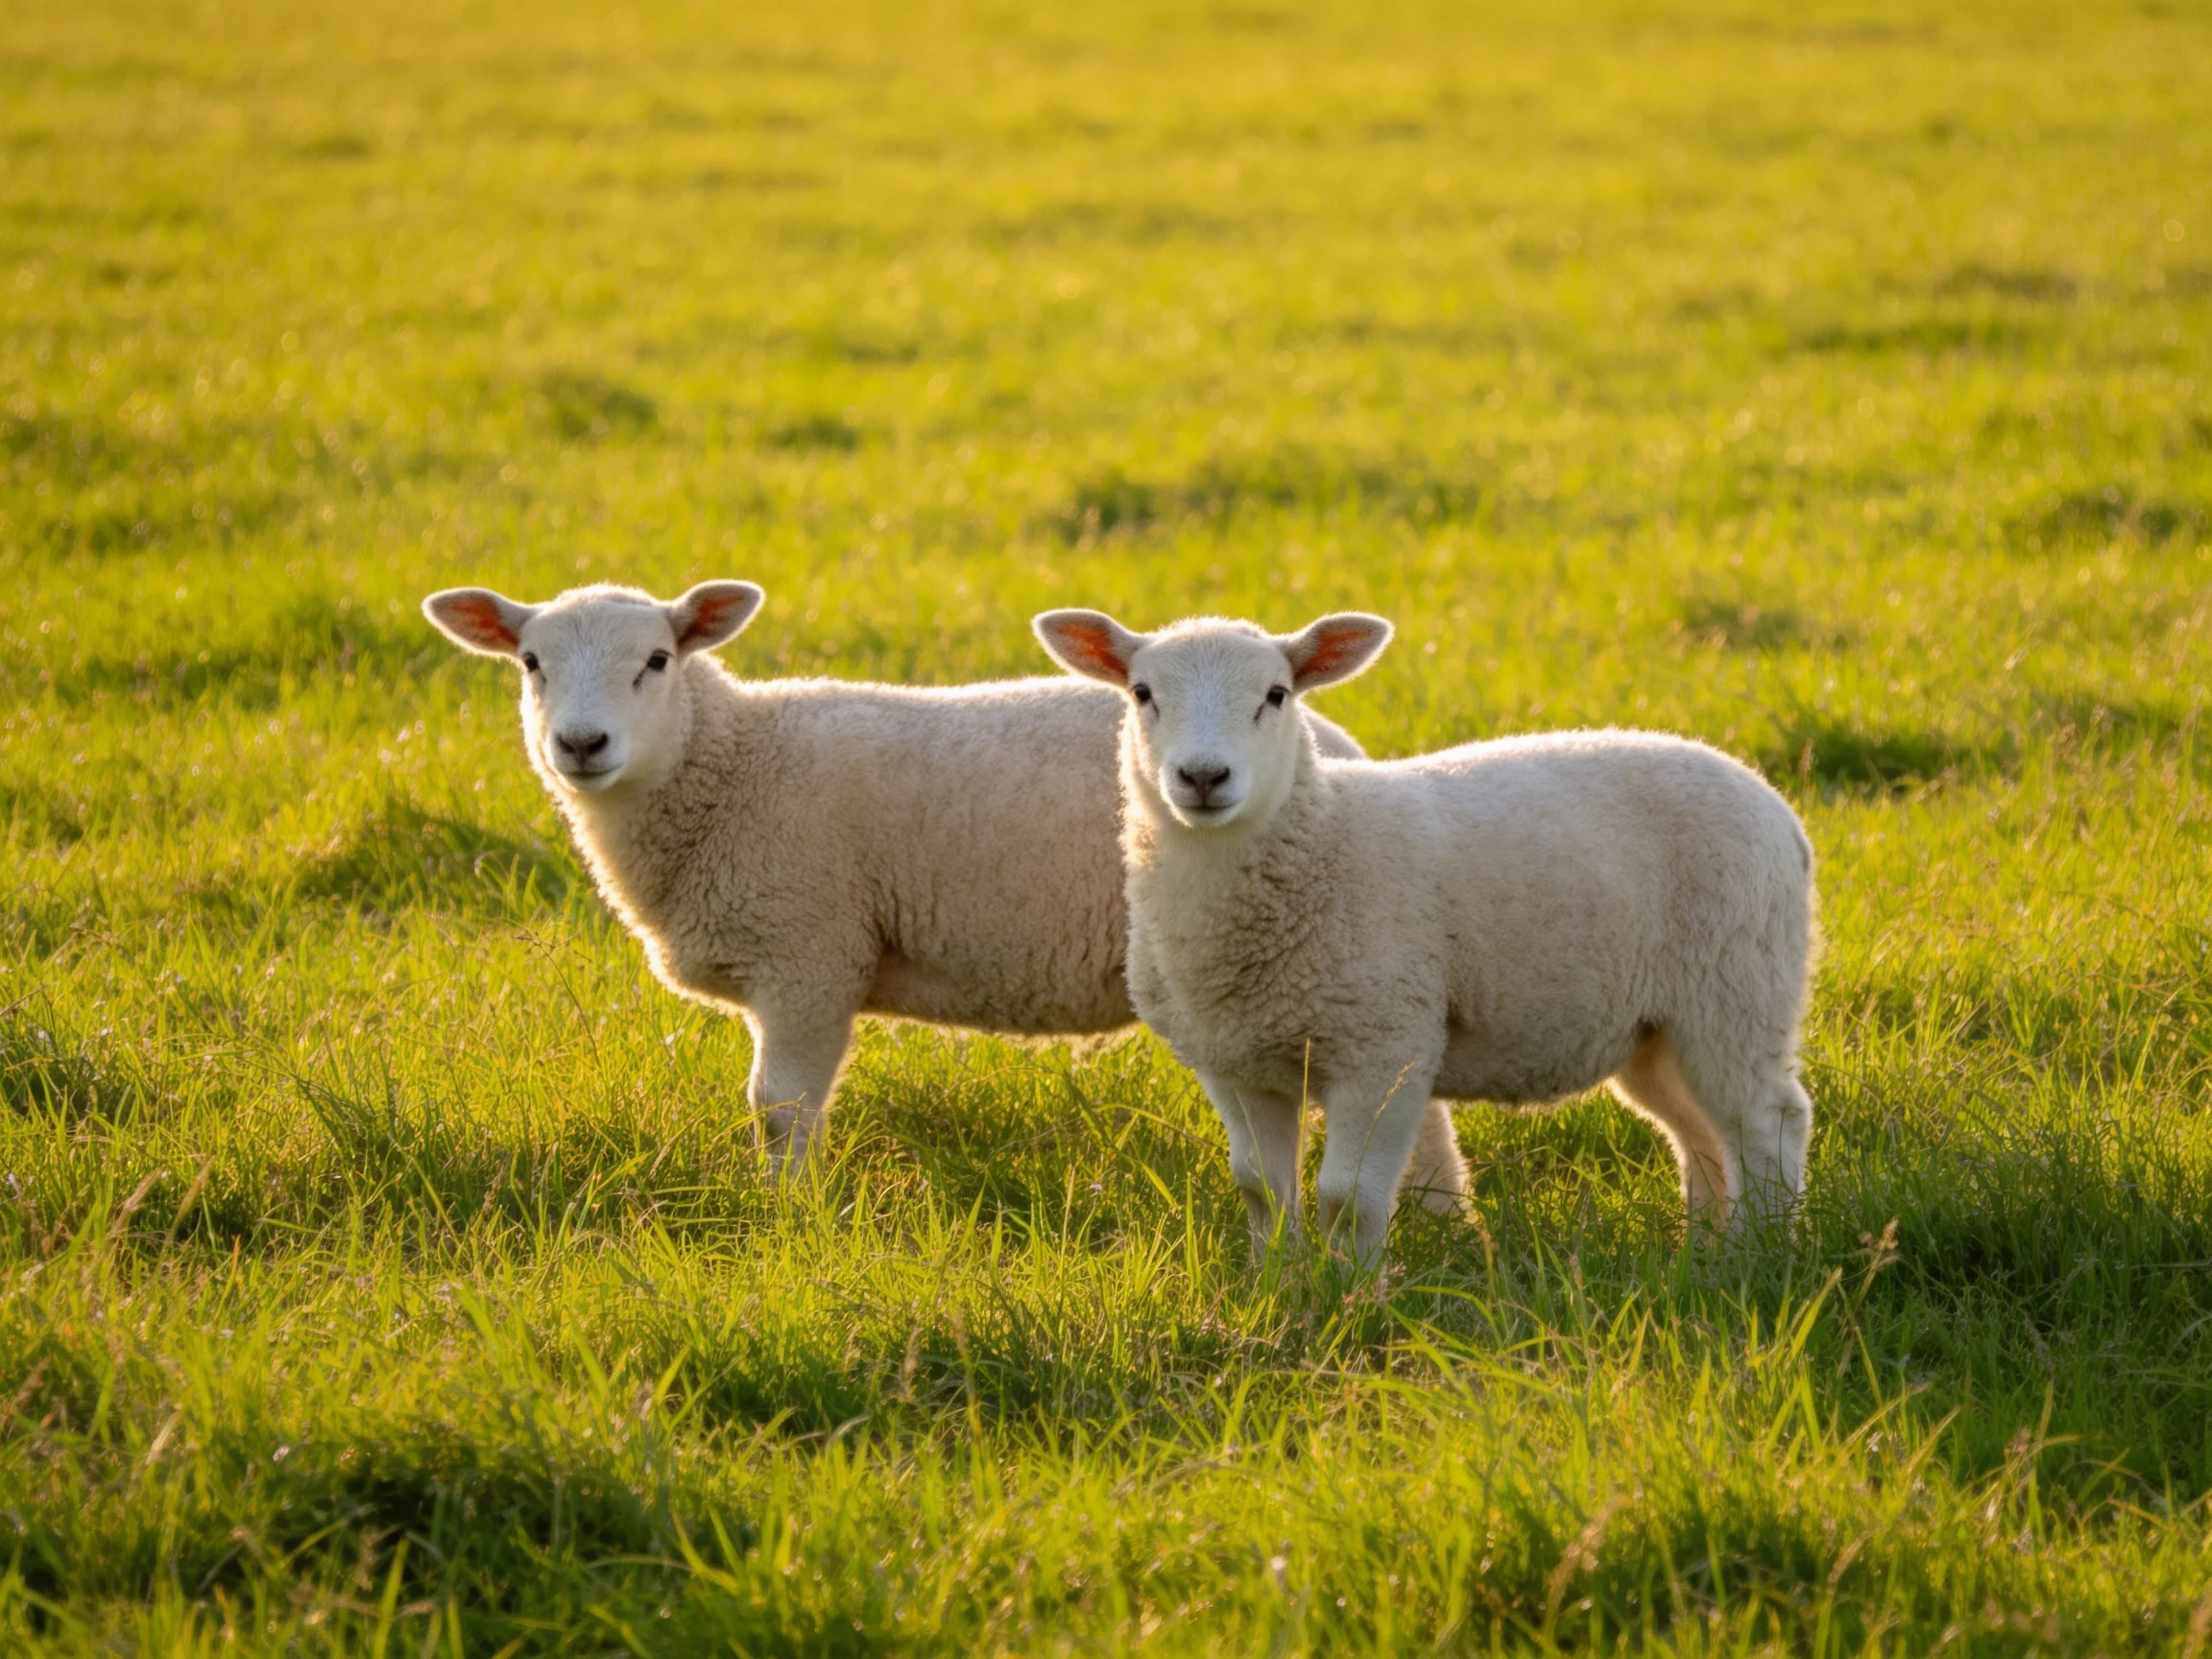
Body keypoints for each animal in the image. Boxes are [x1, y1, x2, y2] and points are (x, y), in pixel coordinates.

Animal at [421, 581, 1366, 1176]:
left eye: (656, 660)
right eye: (530, 664)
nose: (581, 745)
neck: (730, 765)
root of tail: (1344, 751)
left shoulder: (807, 953)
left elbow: (779, 1107)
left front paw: (785, 1219)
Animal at [1033, 607, 1819, 1266]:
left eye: (1277, 695)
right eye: (1142, 693)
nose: (1202, 776)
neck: (1320, 840)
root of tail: (1777, 808)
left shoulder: (1383, 1047)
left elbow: (1346, 1199)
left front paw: (1352, 1299)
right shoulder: (1234, 1062)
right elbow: (1262, 1189)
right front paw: (1275, 1287)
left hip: (1736, 987)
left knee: (1767, 1124)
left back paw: (1757, 1256)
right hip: (1656, 1029)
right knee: (1702, 1136)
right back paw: (1704, 1256)